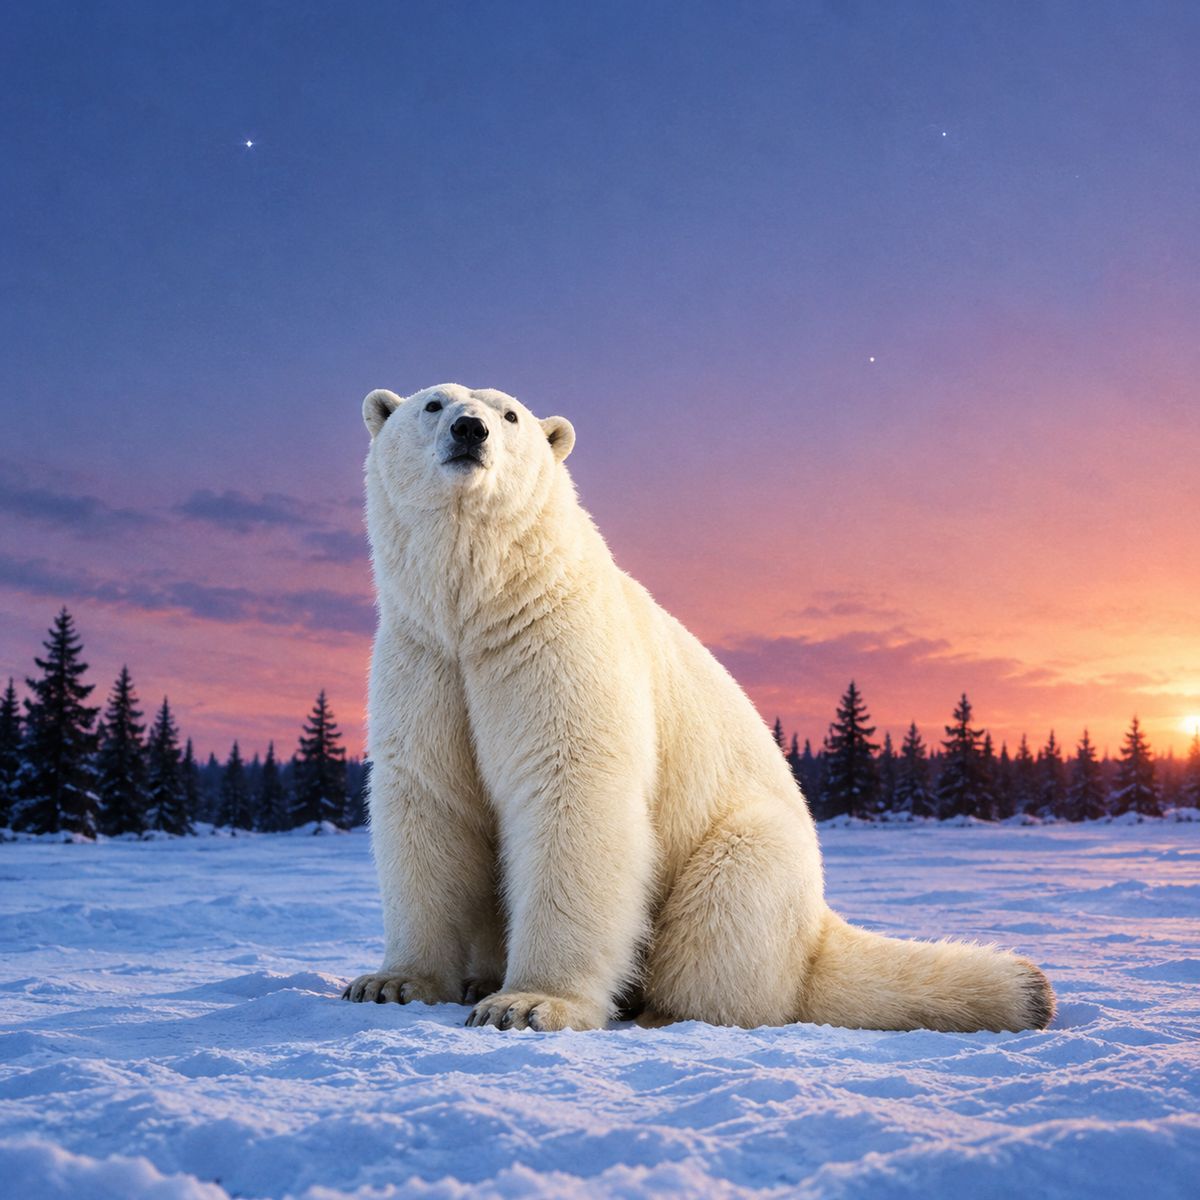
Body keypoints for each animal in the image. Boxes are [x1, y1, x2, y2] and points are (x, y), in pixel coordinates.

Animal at [343, 383, 1055, 1034]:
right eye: (433, 404)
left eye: (511, 414)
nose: (471, 430)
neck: (486, 607)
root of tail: (816, 933)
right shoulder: (427, 660)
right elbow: (427, 799)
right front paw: (392, 983)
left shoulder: (557, 648)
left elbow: (571, 789)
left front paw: (526, 1003)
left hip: (746, 852)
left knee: (727, 911)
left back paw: (661, 1009)